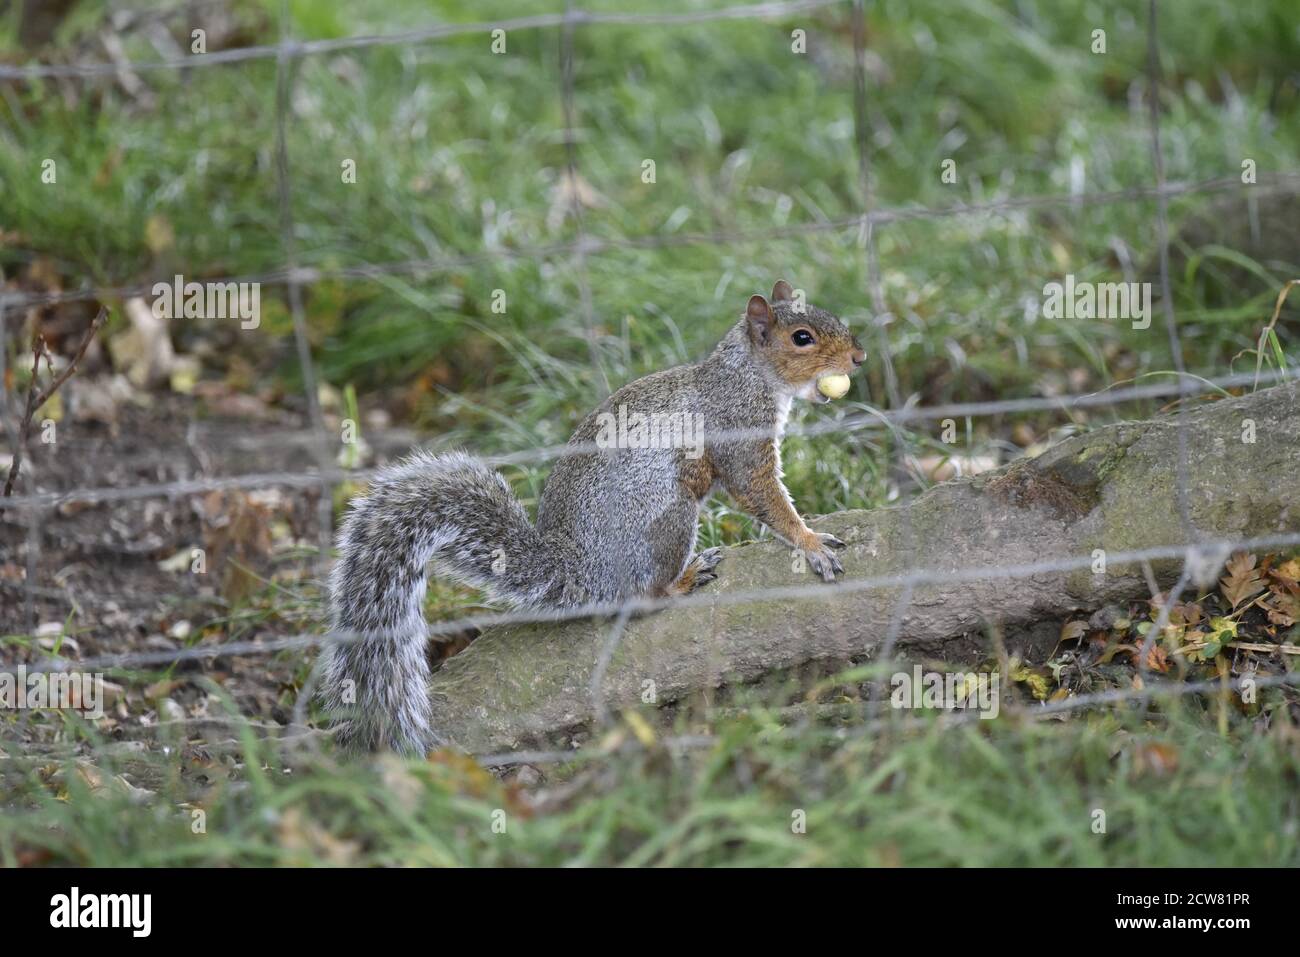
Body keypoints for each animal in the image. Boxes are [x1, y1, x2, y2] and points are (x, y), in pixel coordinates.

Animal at [317, 280, 863, 748]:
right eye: (802, 338)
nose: (859, 357)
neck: (745, 374)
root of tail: (579, 571)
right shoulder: (738, 433)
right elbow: (761, 494)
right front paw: (810, 542)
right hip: (667, 519)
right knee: (640, 599)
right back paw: (683, 580)